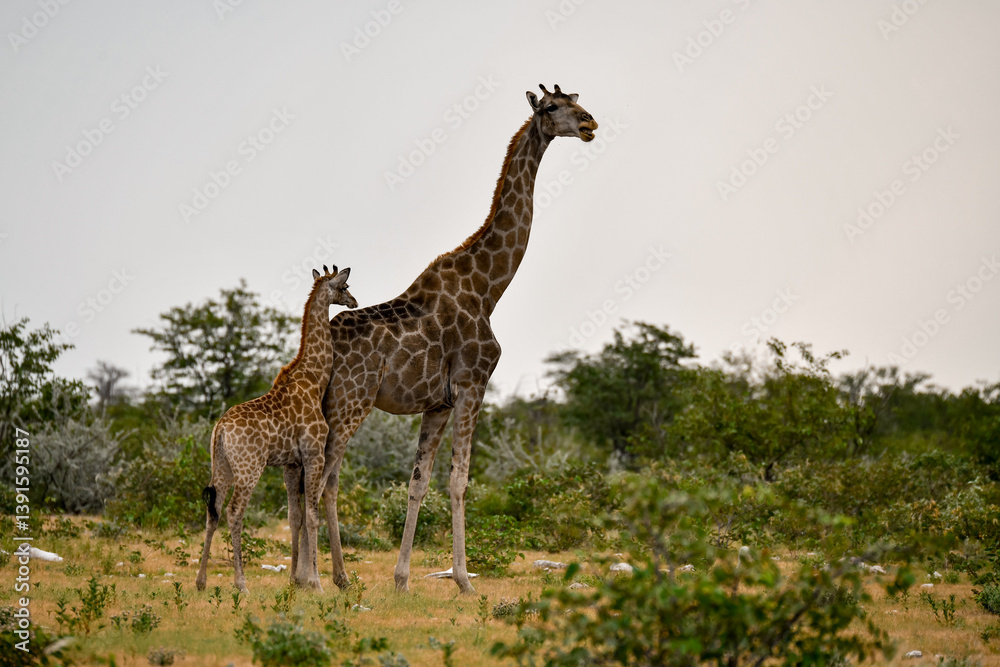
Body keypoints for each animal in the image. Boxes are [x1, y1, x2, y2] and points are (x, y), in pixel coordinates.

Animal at [195, 265, 357, 593]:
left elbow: (295, 517)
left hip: (221, 466)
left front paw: (295, 580)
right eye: (345, 286)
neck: (314, 379)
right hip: (249, 468)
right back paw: (241, 584)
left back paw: (201, 581)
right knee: (234, 512)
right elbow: (312, 515)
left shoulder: (291, 463)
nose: (355, 302)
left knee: (212, 511)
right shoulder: (313, 454)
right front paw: (316, 583)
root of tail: (220, 429)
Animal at [304, 84, 597, 594]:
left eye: (576, 100)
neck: (489, 288)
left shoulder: (437, 403)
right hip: (349, 402)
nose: (589, 124)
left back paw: (329, 577)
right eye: (552, 107)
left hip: (333, 406)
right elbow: (459, 481)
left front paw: (401, 579)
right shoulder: (471, 385)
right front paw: (464, 580)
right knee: (322, 480)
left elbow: (418, 482)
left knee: (320, 479)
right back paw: (317, 580)